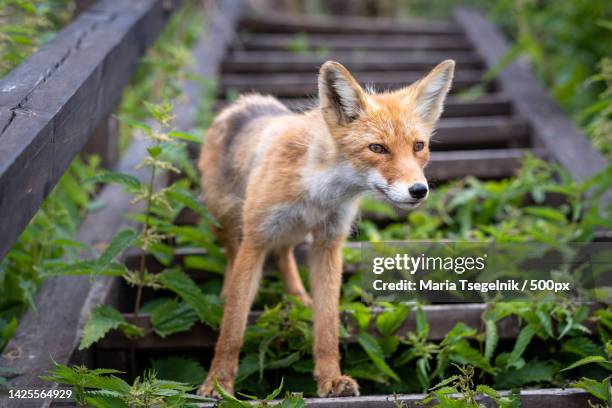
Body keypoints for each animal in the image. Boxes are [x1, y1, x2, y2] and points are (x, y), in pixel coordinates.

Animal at [197, 59, 454, 396]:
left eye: (418, 146)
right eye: (377, 148)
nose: (419, 190)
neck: (318, 192)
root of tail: (245, 102)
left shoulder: (328, 243)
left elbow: (328, 322)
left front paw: (331, 377)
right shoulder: (255, 239)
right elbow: (234, 325)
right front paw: (218, 380)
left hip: (291, 231)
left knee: (283, 255)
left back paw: (298, 298)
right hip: (227, 220)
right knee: (232, 253)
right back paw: (228, 292)